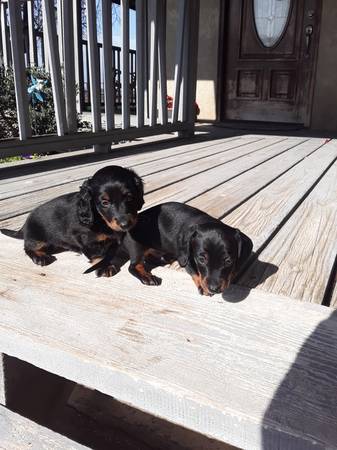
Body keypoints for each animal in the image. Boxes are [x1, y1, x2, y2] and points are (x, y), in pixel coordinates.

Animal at [0, 164, 144, 270]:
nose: (125, 224)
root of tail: (24, 225)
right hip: (37, 238)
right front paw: (104, 267)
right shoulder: (84, 238)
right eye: (105, 202)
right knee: (28, 247)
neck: (101, 219)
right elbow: (97, 254)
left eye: (129, 197)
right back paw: (41, 257)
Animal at [86, 203, 252, 296]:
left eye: (228, 261)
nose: (214, 289)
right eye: (201, 259)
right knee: (133, 266)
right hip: (136, 245)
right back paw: (147, 276)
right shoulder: (186, 257)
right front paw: (203, 287)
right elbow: (196, 272)